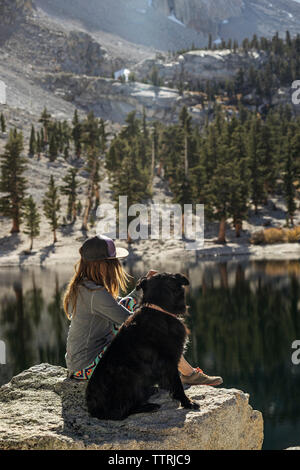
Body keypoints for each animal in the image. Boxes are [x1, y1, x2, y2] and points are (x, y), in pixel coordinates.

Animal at [85, 270, 200, 420]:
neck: (158, 307)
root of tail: (92, 410)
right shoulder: (170, 360)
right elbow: (177, 384)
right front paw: (187, 402)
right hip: (129, 376)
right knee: (121, 412)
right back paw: (148, 406)